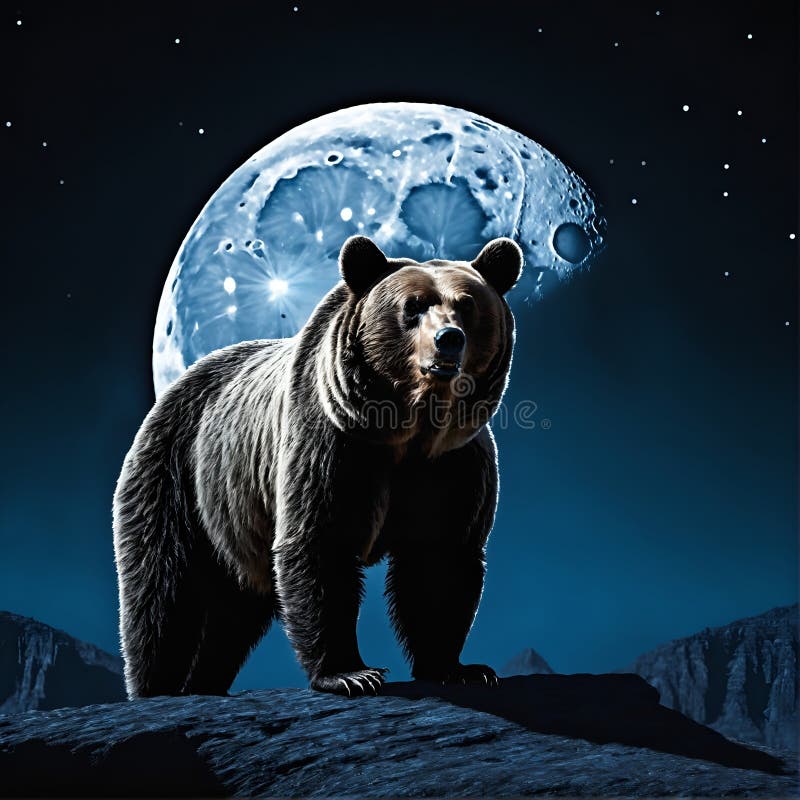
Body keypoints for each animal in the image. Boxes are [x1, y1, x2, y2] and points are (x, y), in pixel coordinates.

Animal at [113, 234, 523, 697]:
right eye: (413, 306)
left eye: (467, 305)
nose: (448, 339)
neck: (407, 428)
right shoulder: (334, 443)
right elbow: (321, 542)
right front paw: (350, 673)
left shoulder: (451, 462)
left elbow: (441, 559)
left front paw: (459, 668)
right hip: (177, 474)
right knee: (162, 590)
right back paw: (155, 686)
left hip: (236, 521)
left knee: (235, 612)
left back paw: (205, 682)